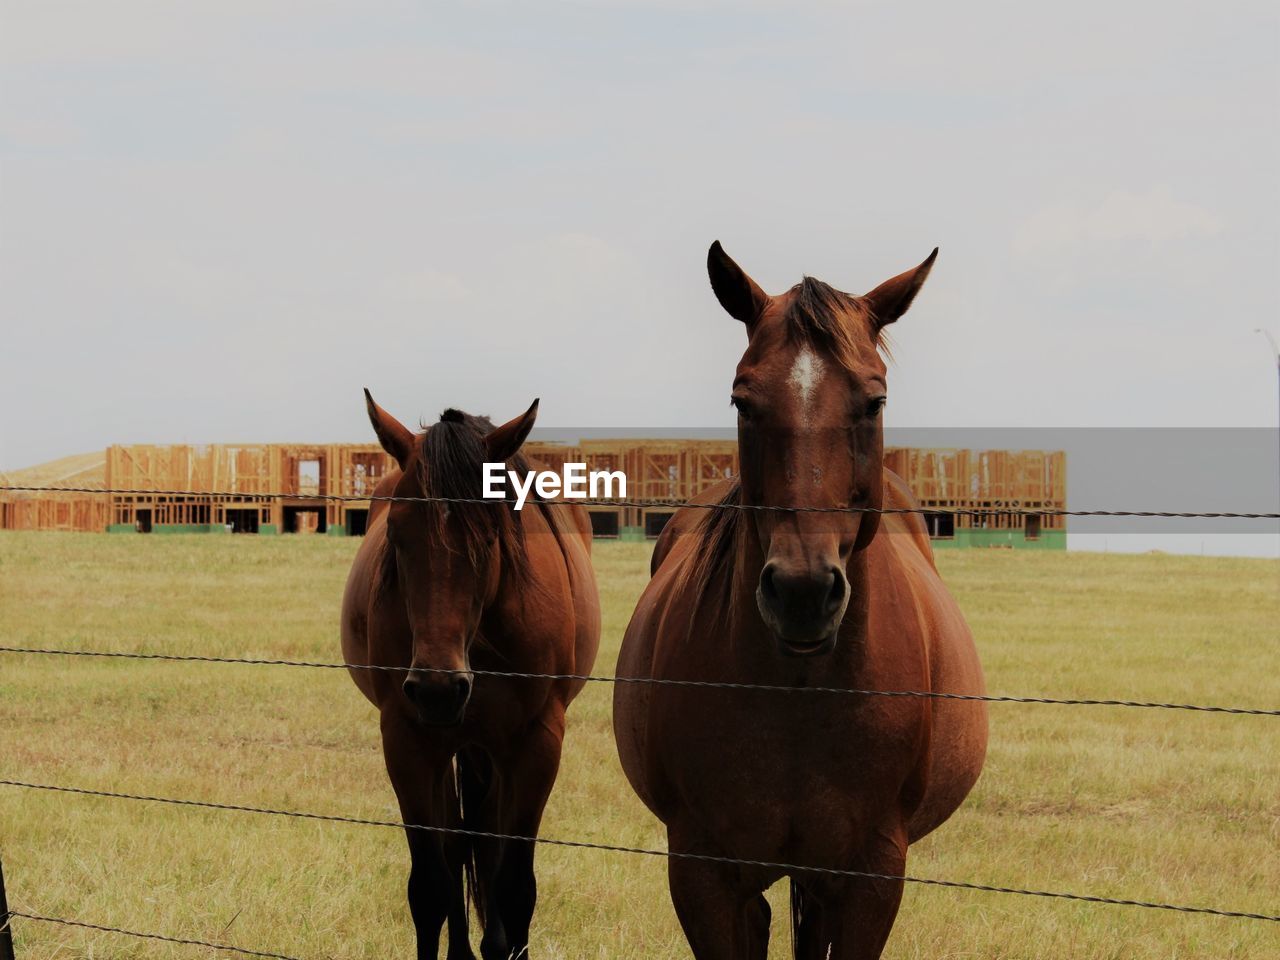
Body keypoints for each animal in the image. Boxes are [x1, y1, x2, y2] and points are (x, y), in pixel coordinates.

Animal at [340, 391, 599, 960]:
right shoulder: (408, 740)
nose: (438, 690)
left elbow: (515, 886)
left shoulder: (536, 743)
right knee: (461, 841)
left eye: (491, 532)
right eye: (396, 533)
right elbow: (431, 886)